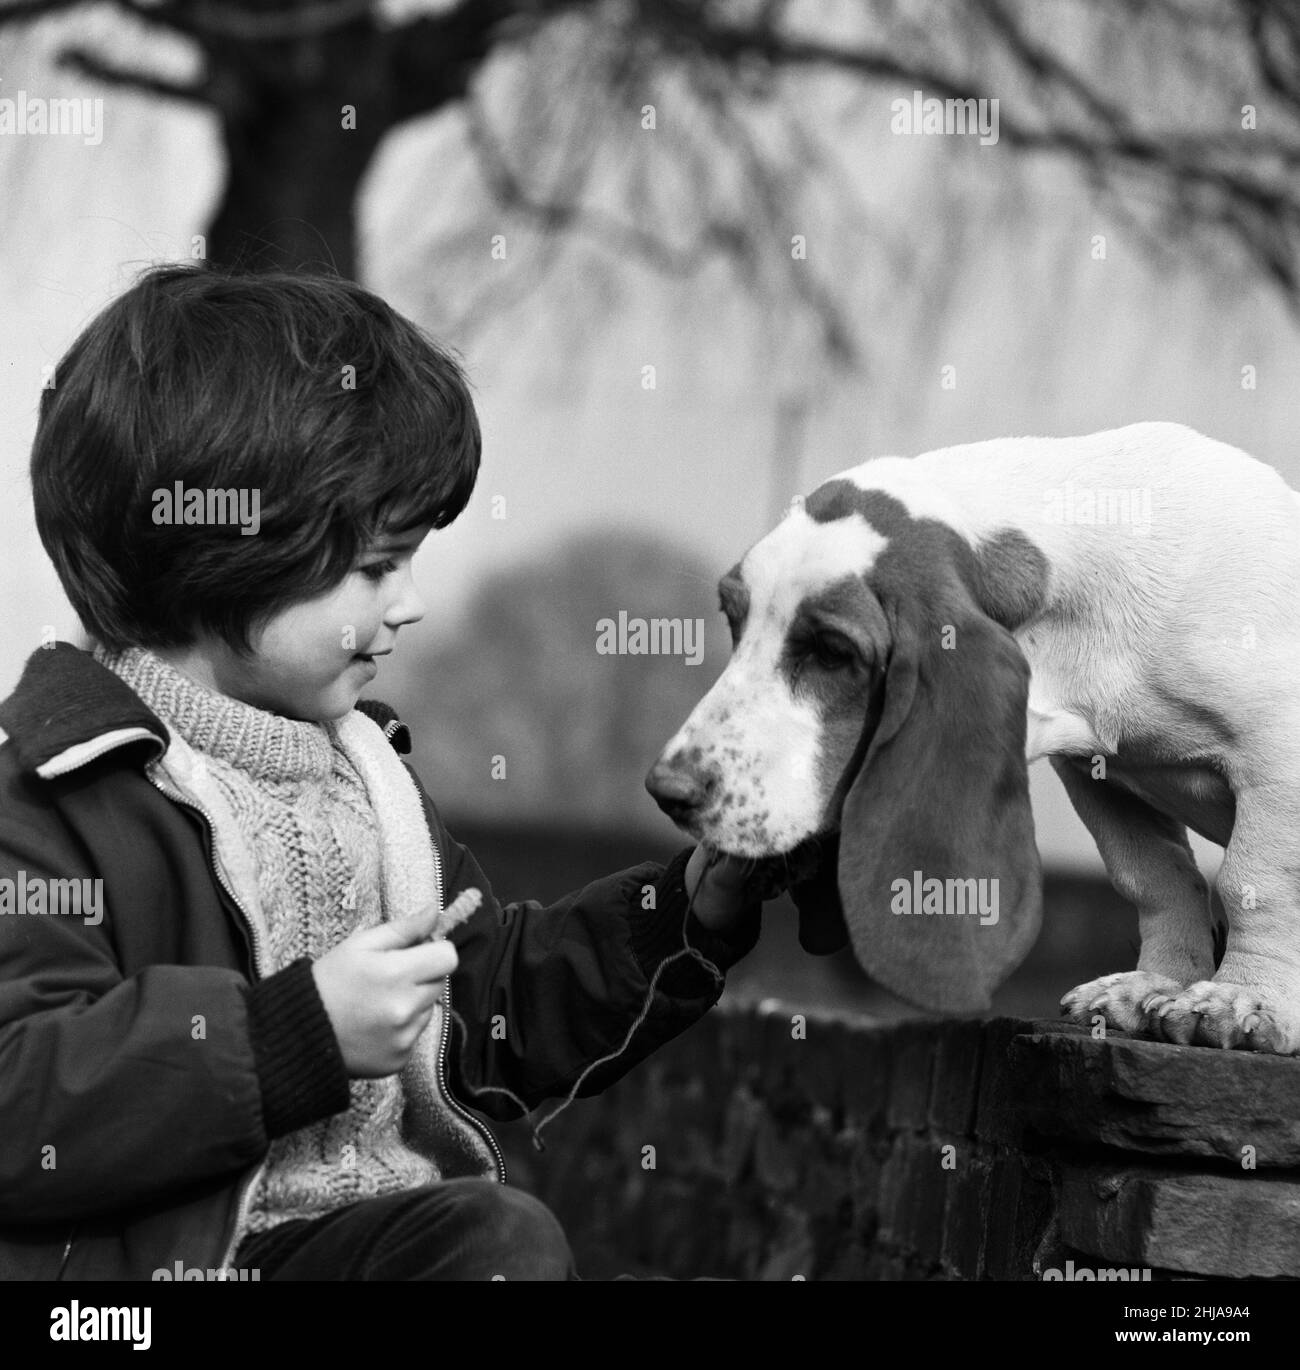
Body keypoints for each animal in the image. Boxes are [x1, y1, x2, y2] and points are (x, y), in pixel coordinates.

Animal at [649, 421, 1300, 1052]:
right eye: (733, 619)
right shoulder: (1099, 779)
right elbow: (1156, 880)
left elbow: (1252, 883)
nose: (666, 792)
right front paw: (1157, 984)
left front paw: (1245, 1000)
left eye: (833, 651)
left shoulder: (1277, 760)